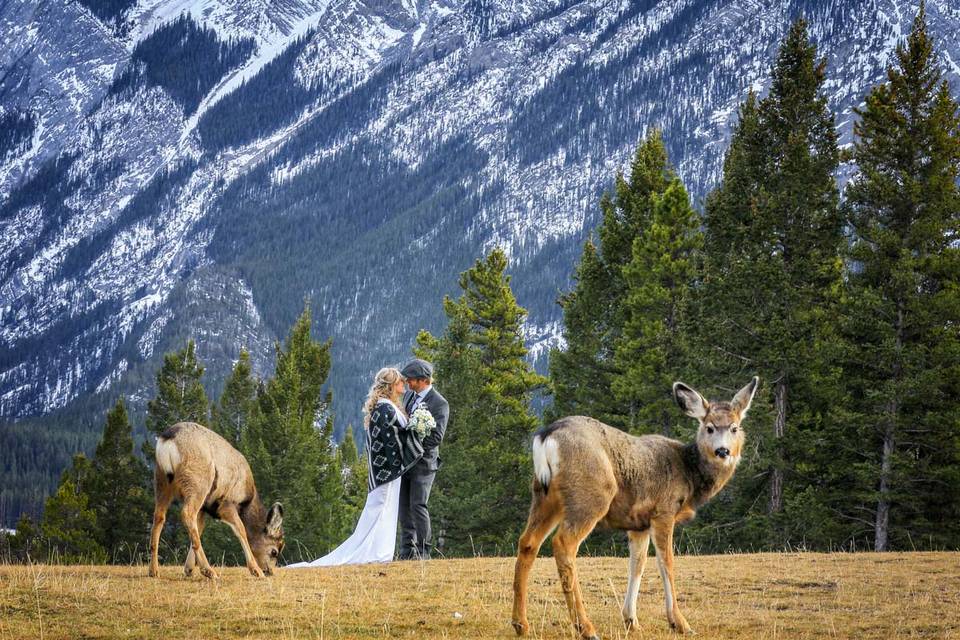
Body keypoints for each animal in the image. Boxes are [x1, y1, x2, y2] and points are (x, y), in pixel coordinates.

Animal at [144, 422, 284, 576]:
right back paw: (209, 571)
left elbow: (199, 528)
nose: (269, 571)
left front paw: (189, 568)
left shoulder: (204, 508)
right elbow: (241, 530)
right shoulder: (226, 504)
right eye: (274, 552)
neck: (246, 502)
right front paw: (255, 570)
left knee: (159, 516)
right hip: (198, 482)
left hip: (161, 480)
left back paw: (154, 571)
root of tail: (168, 440)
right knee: (186, 513)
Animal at [510, 378, 756, 636]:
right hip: (591, 494)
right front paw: (679, 623)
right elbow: (666, 563)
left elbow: (637, 564)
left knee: (528, 542)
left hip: (544, 496)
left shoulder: (639, 524)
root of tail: (546, 436)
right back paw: (586, 627)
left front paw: (631, 620)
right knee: (563, 544)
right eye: (709, 427)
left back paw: (521, 624)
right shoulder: (663, 511)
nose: (723, 451)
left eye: (735, 428)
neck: (690, 474)